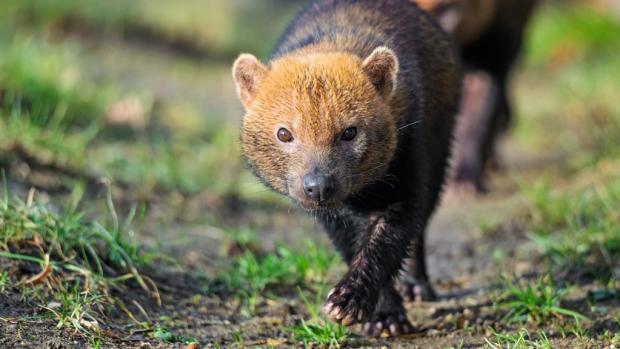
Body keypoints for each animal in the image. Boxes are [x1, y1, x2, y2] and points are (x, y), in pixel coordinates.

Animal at [231, 0, 460, 338]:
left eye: (350, 132)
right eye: (284, 133)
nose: (318, 186)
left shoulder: (408, 166)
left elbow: (390, 239)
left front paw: (353, 302)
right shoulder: (330, 214)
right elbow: (352, 246)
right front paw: (384, 314)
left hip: (441, 144)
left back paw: (417, 285)